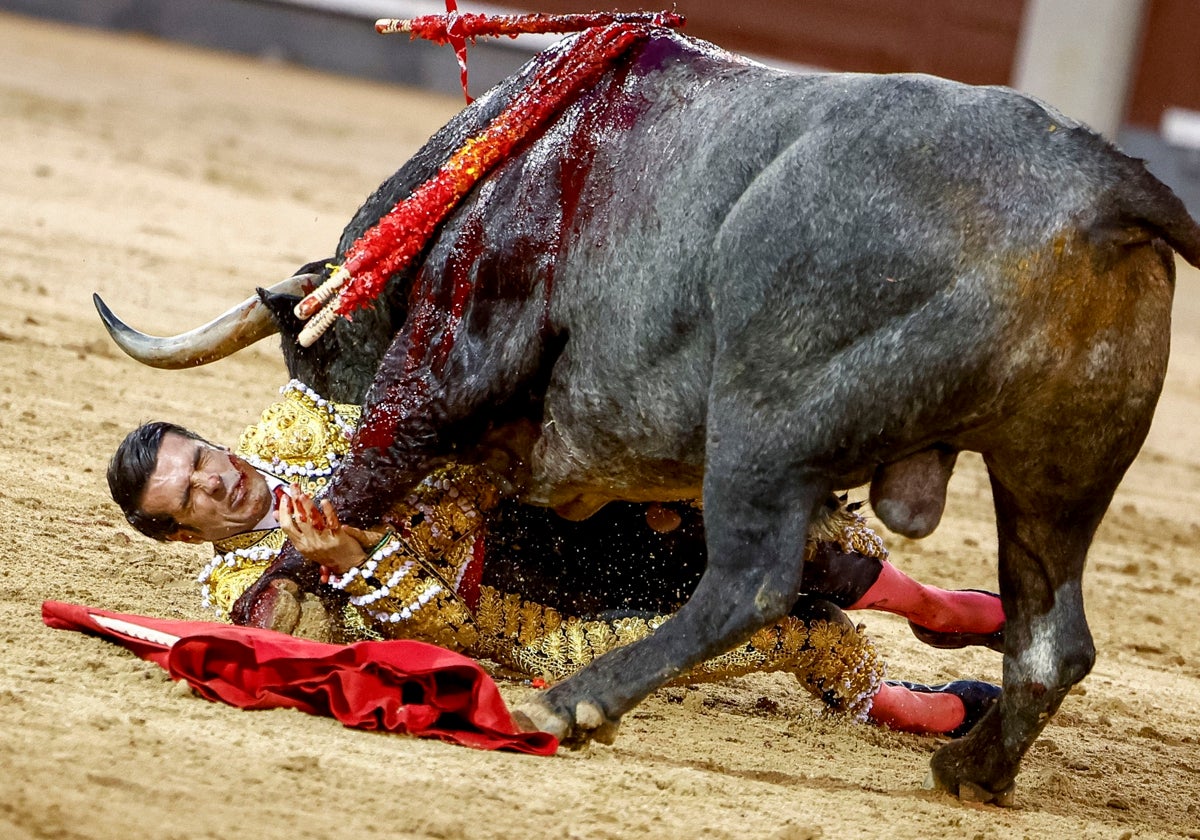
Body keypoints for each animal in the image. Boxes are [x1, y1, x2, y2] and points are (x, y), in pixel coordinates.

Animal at [96, 29, 1200, 801]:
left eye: (305, 355)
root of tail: (1103, 190)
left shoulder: (450, 354)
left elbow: (377, 458)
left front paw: (301, 562)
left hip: (765, 427)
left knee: (755, 585)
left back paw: (573, 702)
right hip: (1055, 475)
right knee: (1046, 638)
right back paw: (972, 766)